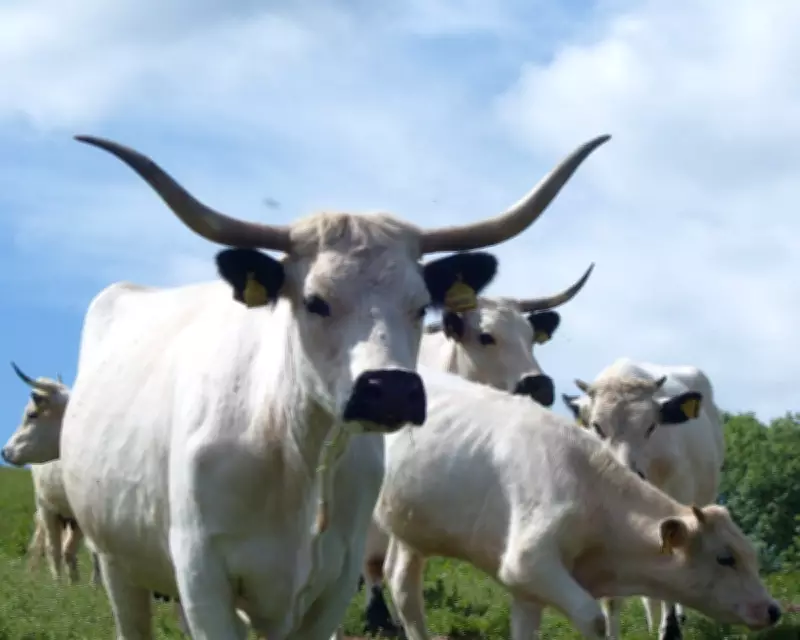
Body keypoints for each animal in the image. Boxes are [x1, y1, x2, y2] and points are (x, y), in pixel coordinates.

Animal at [2, 363, 102, 586]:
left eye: (32, 414)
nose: (5, 451)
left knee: (67, 550)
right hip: (46, 507)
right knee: (54, 549)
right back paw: (60, 586)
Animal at [57, 133, 610, 639]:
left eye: (419, 305)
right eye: (315, 301)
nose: (390, 389)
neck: (291, 444)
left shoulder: (330, 582)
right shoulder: (203, 578)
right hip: (118, 563)